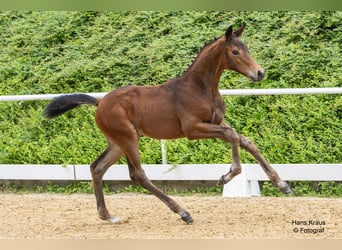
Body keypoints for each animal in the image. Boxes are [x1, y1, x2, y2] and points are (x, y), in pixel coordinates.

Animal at [44, 25, 292, 225]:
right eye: (235, 52)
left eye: (246, 48)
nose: (259, 73)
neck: (201, 88)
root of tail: (100, 102)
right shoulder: (192, 129)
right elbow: (232, 136)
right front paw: (227, 175)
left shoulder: (216, 122)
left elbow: (246, 141)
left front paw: (283, 185)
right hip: (128, 138)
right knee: (138, 174)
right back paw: (183, 213)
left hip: (117, 143)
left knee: (97, 168)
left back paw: (108, 216)